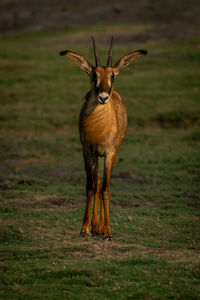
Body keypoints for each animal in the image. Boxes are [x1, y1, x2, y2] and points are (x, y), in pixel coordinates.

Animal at [59, 36, 147, 240]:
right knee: (96, 184)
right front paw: (84, 229)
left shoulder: (110, 153)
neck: (99, 127)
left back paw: (100, 228)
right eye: (94, 74)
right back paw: (95, 227)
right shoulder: (88, 152)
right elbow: (91, 187)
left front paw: (107, 232)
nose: (103, 97)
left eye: (113, 75)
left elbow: (106, 189)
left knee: (102, 186)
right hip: (95, 157)